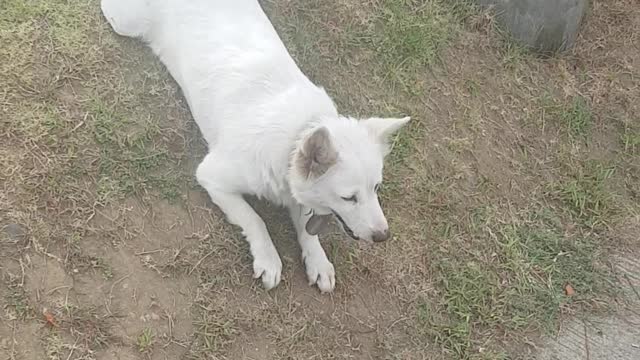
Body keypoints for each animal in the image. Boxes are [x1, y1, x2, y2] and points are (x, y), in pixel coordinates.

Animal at [100, 0, 410, 292]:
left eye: (376, 188)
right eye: (349, 198)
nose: (383, 236)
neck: (297, 134)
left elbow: (307, 230)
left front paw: (318, 260)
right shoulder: (211, 178)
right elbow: (255, 219)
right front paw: (268, 258)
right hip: (123, 21)